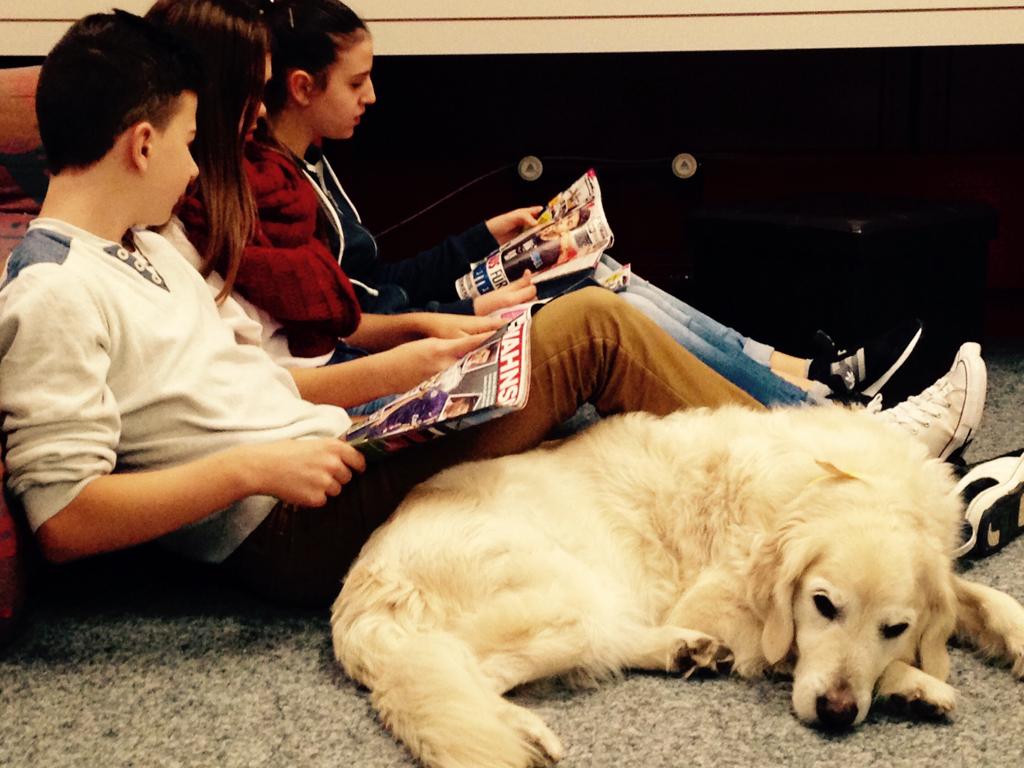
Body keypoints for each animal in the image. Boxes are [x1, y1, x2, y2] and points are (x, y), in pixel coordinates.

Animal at [331, 406, 1024, 768]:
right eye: (823, 605)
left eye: (895, 626)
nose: (834, 715)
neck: (827, 484)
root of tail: (363, 581)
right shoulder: (730, 606)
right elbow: (795, 651)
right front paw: (915, 685)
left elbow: (980, 598)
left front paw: (1007, 636)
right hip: (564, 600)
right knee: (464, 676)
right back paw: (525, 734)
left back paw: (684, 651)